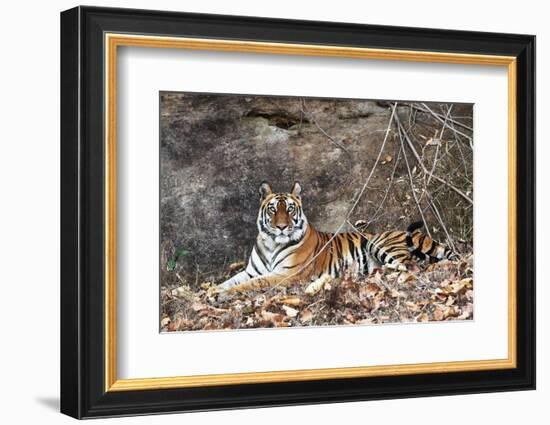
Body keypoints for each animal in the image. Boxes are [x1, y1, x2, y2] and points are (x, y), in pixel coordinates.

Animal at [218, 181, 454, 294]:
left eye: (291, 209)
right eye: (273, 209)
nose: (282, 227)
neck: (271, 244)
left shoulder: (287, 274)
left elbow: (254, 283)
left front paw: (226, 294)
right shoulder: (250, 271)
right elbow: (230, 280)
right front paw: (215, 290)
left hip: (380, 244)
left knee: (411, 267)